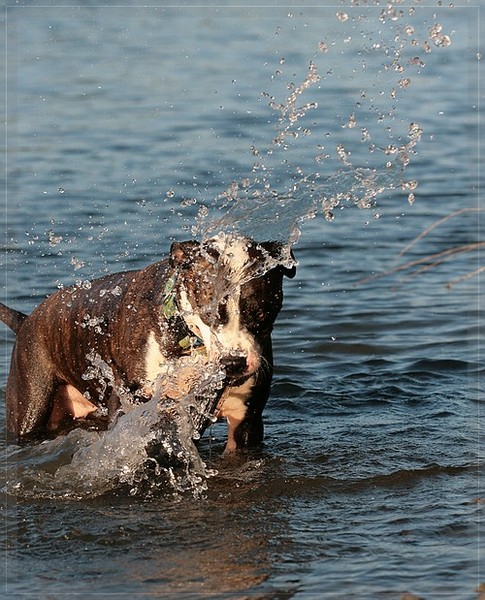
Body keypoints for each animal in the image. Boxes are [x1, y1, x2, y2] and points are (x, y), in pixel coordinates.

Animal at [0, 237, 294, 452]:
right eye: (208, 313)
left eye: (261, 314)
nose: (233, 362)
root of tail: (27, 320)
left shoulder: (246, 423)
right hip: (30, 403)